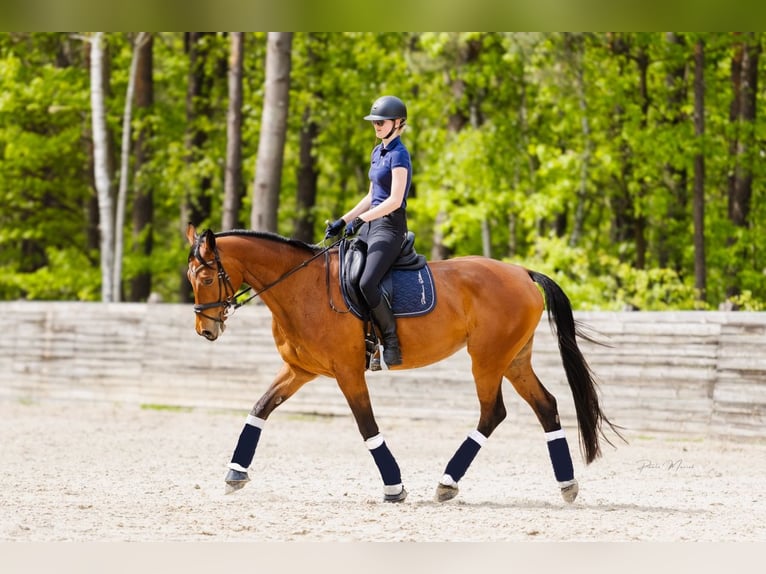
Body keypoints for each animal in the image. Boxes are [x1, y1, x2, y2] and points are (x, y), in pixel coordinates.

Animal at [185, 223, 623, 503]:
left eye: (205, 279)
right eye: (191, 279)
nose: (205, 330)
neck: (301, 287)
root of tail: (522, 272)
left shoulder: (347, 372)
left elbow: (368, 428)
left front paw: (394, 487)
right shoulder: (300, 371)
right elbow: (260, 409)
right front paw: (235, 473)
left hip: (487, 359)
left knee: (492, 412)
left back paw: (447, 482)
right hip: (514, 359)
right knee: (546, 406)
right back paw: (567, 484)